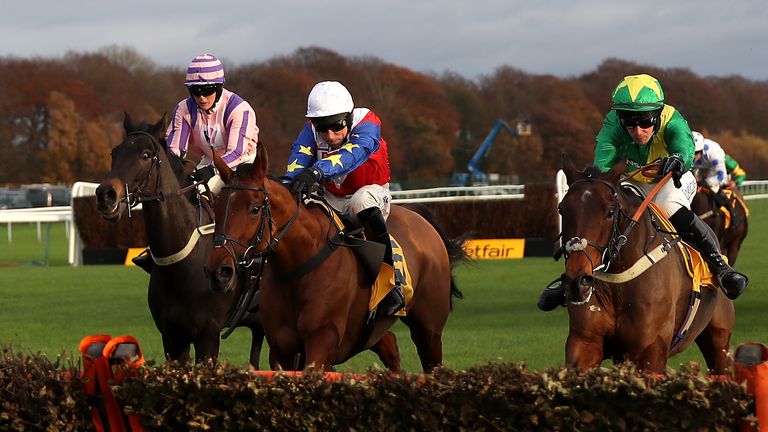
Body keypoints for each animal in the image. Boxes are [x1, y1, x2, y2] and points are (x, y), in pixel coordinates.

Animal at [93, 115, 264, 364]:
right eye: (114, 153)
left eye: (145, 155)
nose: (106, 195)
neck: (183, 264)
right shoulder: (172, 337)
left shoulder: (208, 335)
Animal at [204, 144, 464, 372]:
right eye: (216, 206)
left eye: (255, 208)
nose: (219, 271)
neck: (297, 267)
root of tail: (421, 218)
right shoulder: (281, 348)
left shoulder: (323, 338)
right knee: (389, 344)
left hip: (428, 329)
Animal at [560, 157, 736, 372]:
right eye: (561, 209)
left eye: (610, 212)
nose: (578, 281)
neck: (618, 285)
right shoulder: (584, 342)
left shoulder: (651, 350)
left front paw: (674, 162)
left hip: (719, 343)